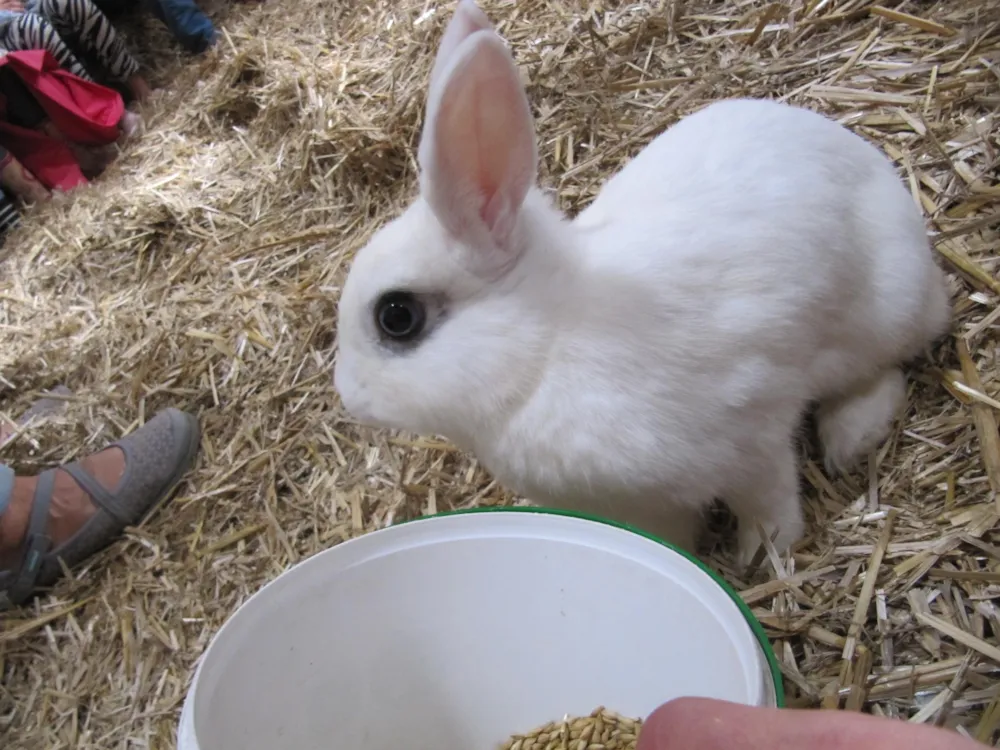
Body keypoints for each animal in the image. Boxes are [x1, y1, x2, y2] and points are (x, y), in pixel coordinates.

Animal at [332, 0, 948, 564]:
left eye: (397, 317)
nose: (348, 395)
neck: (548, 349)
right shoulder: (646, 507)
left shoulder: (753, 437)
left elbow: (769, 503)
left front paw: (761, 557)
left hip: (883, 312)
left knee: (884, 370)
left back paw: (850, 437)